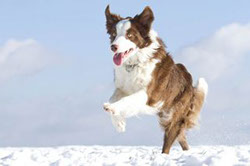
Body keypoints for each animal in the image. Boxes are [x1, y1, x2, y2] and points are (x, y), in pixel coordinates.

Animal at [102, 5, 208, 154]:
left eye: (130, 35)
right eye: (113, 34)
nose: (113, 47)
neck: (134, 64)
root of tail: (190, 85)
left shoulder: (149, 93)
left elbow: (126, 100)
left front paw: (111, 108)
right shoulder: (122, 88)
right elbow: (114, 98)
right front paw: (119, 123)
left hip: (173, 119)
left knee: (168, 144)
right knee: (182, 139)